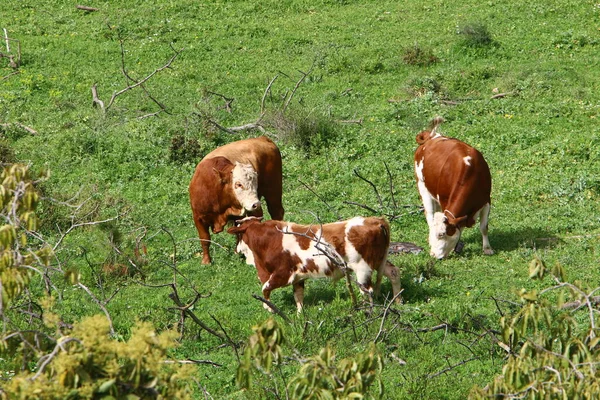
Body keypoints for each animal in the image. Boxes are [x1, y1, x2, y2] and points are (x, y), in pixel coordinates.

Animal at [192, 136, 286, 264]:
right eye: (238, 184)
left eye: (255, 183)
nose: (255, 203)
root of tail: (262, 138)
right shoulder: (198, 217)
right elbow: (205, 239)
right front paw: (206, 261)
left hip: (273, 191)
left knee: (276, 212)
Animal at [227, 216, 400, 312]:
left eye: (237, 236)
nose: (236, 250)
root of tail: (375, 221)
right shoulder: (298, 277)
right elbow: (298, 297)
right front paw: (300, 316)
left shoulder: (283, 274)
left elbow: (265, 288)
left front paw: (269, 308)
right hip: (378, 261)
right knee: (393, 272)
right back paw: (398, 301)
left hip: (363, 268)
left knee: (367, 290)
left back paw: (366, 311)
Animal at [414, 116, 494, 260]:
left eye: (441, 234)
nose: (433, 255)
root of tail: (432, 137)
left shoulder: (486, 201)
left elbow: (484, 227)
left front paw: (487, 249)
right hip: (422, 187)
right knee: (429, 215)